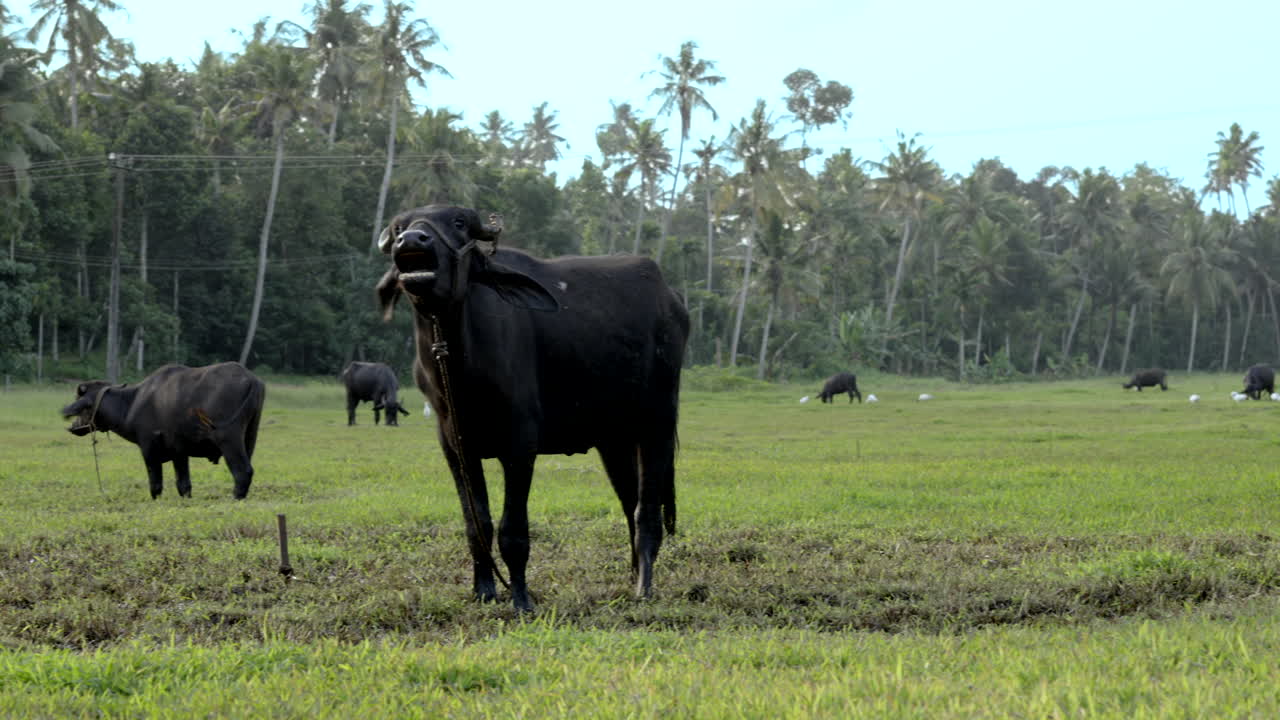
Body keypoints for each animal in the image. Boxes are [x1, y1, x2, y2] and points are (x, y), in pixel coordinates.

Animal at [61, 362, 265, 499]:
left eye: (81, 400)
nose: (73, 424)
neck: (131, 403)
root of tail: (252, 380)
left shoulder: (148, 448)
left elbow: (155, 484)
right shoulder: (179, 453)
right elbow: (183, 484)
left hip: (229, 438)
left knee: (242, 471)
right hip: (250, 436)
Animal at [376, 205, 688, 612]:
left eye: (458, 223)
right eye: (399, 226)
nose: (413, 239)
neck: (458, 367)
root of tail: (672, 299)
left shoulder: (521, 443)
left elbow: (512, 529)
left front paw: (521, 598)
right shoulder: (455, 445)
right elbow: (477, 522)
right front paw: (484, 590)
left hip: (657, 424)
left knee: (647, 511)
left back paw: (644, 587)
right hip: (614, 439)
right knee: (629, 501)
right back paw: (632, 575)